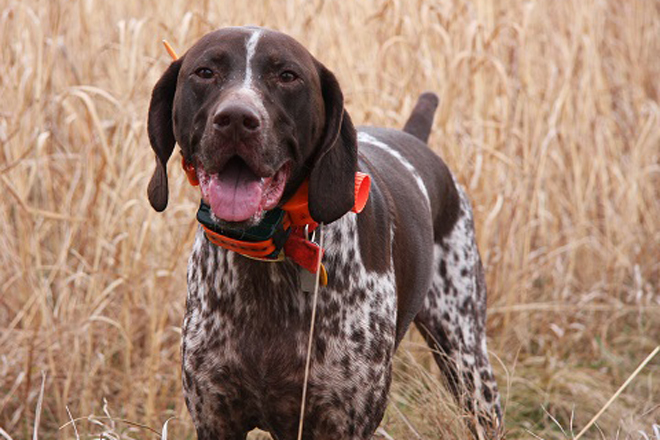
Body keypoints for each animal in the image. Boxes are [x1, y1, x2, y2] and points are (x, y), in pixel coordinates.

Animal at [147, 25, 502, 438]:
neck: (268, 265)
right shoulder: (215, 418)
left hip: (468, 361)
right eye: (205, 72)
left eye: (287, 75)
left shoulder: (344, 420)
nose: (236, 118)